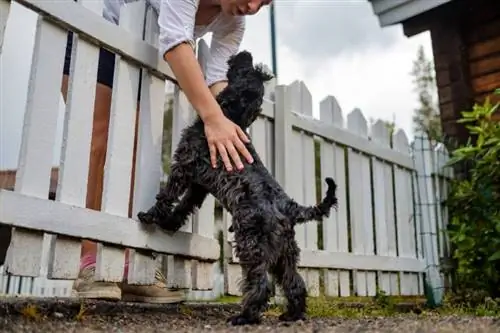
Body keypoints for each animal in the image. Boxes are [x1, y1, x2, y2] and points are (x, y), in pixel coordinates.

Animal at [139, 50, 338, 326]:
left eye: (246, 70)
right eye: (253, 71)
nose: (245, 53)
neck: (231, 118)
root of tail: (290, 208)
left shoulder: (184, 166)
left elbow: (167, 196)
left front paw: (150, 216)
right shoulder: (199, 186)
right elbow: (185, 206)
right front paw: (169, 223)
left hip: (251, 245)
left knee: (261, 285)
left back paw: (244, 316)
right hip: (285, 252)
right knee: (294, 283)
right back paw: (292, 314)